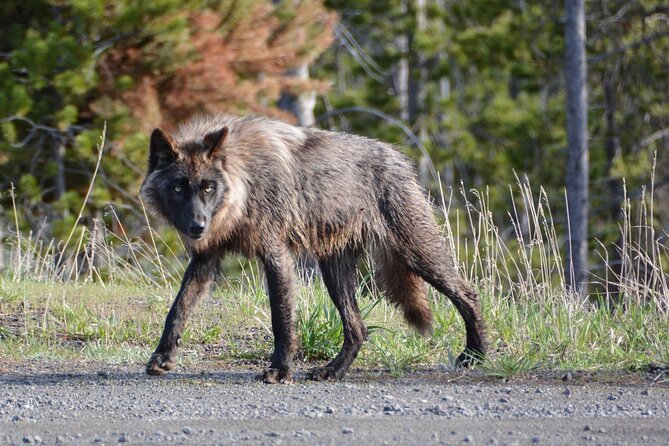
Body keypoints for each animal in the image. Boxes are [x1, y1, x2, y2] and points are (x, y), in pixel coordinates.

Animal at [141, 114, 486, 384]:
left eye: (208, 188)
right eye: (178, 187)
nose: (197, 226)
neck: (244, 183)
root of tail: (398, 156)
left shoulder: (276, 256)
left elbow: (281, 320)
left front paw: (280, 370)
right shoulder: (206, 259)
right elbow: (177, 309)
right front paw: (162, 358)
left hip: (415, 253)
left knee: (467, 294)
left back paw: (474, 355)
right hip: (335, 273)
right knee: (358, 329)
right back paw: (332, 371)